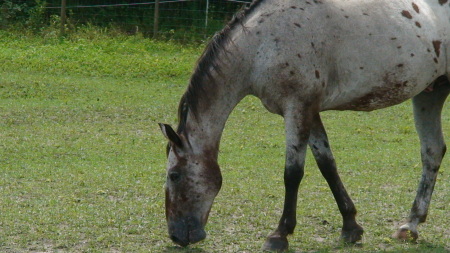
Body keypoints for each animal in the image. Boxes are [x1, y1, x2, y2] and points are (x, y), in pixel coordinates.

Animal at [160, 0, 448, 250]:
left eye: (174, 175)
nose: (176, 235)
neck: (262, 44)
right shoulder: (310, 111)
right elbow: (327, 166)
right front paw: (350, 226)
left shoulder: (297, 108)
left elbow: (292, 173)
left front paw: (280, 235)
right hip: (429, 94)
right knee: (432, 152)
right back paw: (411, 225)